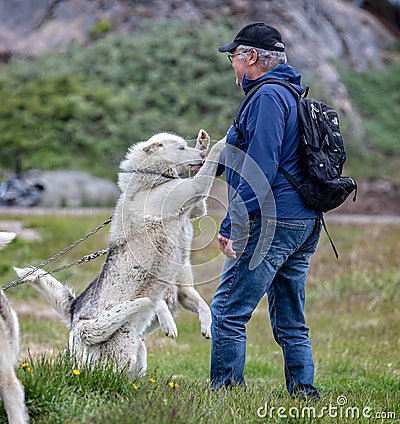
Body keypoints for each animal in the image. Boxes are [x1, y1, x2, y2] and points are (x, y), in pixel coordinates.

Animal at [14, 130, 225, 378]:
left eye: (187, 145)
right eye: (181, 148)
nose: (200, 155)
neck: (152, 179)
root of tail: (80, 325)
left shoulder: (195, 207)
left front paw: (204, 143)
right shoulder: (194, 188)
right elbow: (209, 165)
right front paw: (223, 142)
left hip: (137, 355)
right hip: (119, 355)